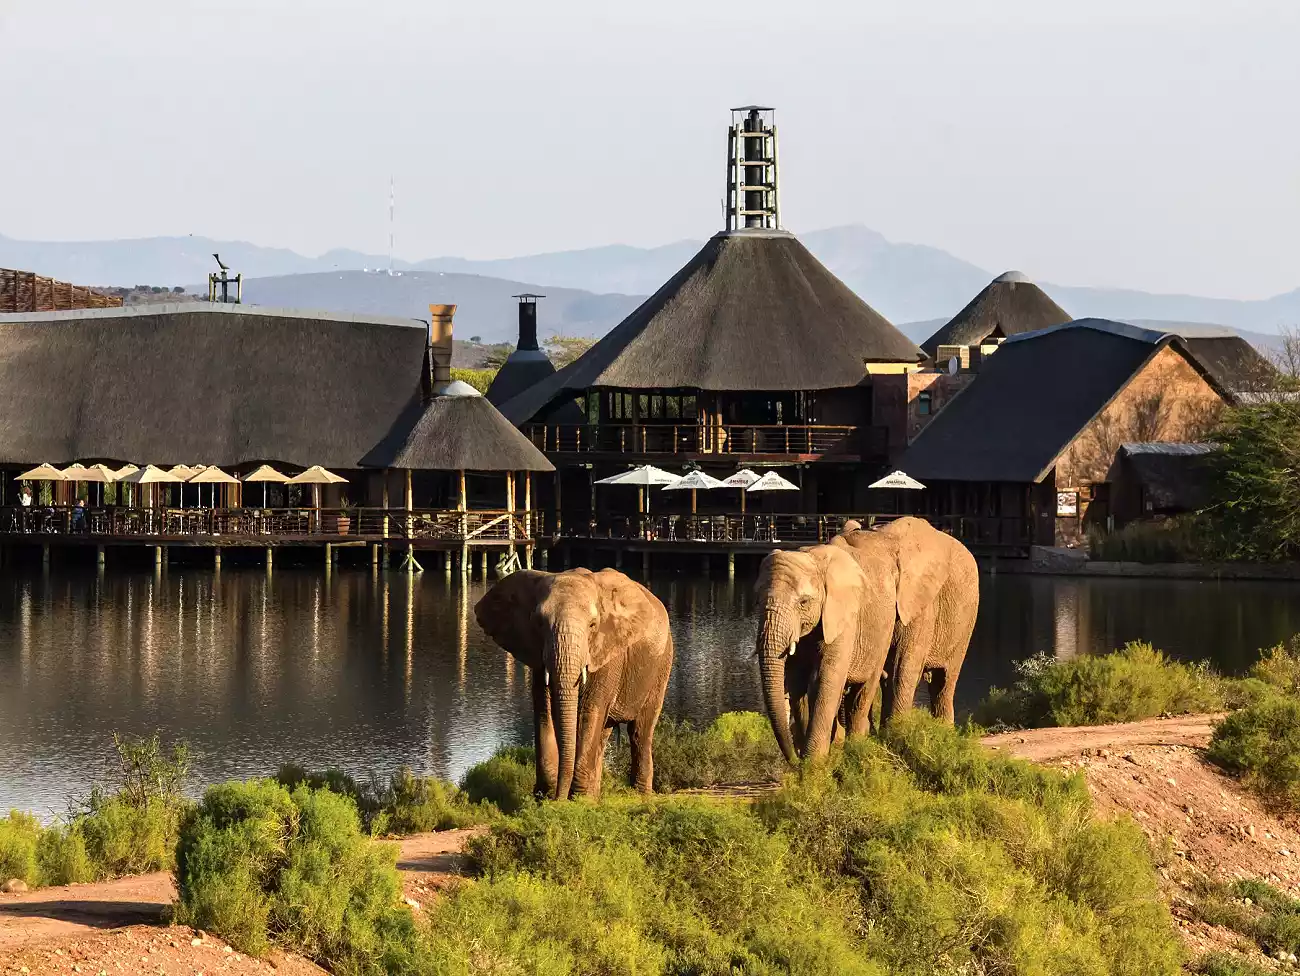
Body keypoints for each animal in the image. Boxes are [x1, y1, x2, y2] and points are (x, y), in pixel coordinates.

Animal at [473, 567, 674, 800]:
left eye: (593, 625)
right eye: (539, 623)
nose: (557, 798)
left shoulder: (607, 651)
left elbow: (590, 711)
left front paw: (578, 800)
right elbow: (544, 710)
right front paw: (545, 795)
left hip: (662, 663)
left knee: (640, 731)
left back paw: (639, 795)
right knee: (604, 733)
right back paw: (596, 795)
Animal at [754, 544, 897, 762]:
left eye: (804, 602)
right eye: (757, 600)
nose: (794, 759)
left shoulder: (843, 618)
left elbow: (825, 679)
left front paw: (813, 761)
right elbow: (798, 682)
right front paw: (807, 757)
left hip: (884, 633)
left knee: (863, 693)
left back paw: (855, 746)